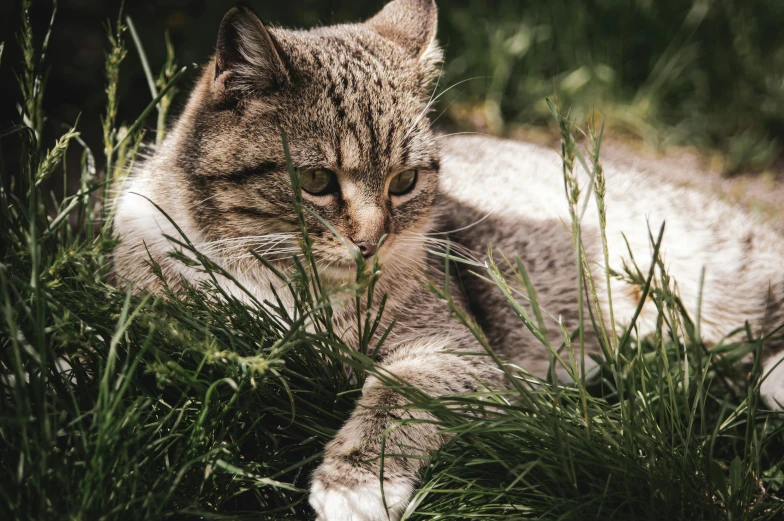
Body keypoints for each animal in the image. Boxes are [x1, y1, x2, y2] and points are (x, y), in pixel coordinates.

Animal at [112, 1, 784, 520]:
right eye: (316, 181)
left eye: (405, 181)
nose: (371, 242)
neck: (290, 283)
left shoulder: (459, 351)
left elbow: (398, 395)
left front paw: (358, 482)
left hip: (708, 277)